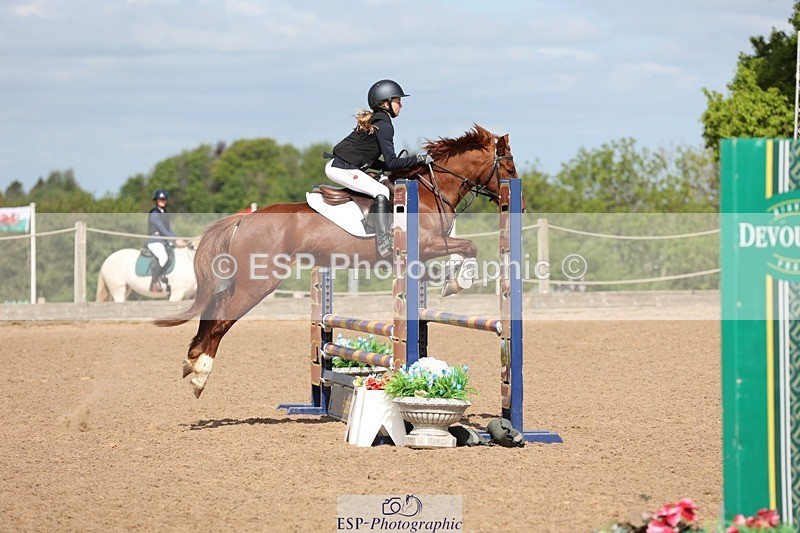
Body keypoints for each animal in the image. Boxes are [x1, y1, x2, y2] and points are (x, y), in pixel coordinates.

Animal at [156, 125, 522, 398]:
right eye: (507, 166)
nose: (521, 202)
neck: (430, 190)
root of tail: (243, 220)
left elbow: (459, 253)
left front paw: (450, 280)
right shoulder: (429, 244)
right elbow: (470, 247)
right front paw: (457, 282)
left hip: (244, 280)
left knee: (213, 310)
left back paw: (191, 362)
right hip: (258, 283)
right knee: (221, 320)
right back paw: (200, 374)